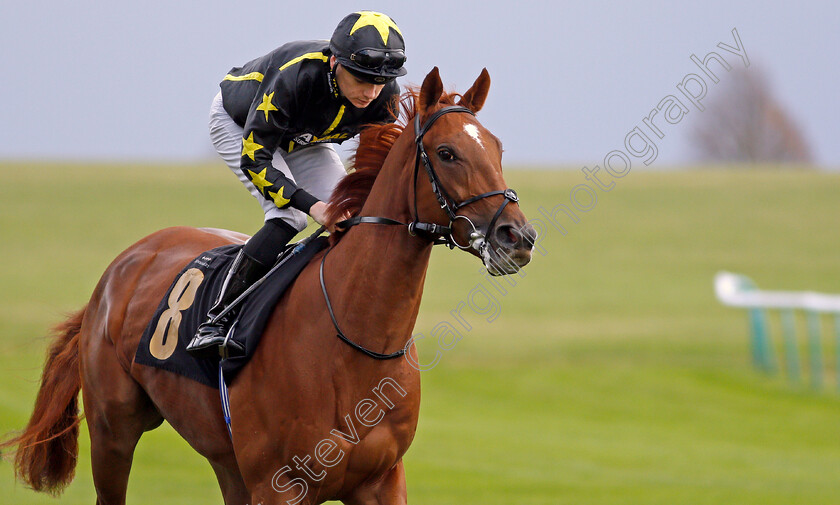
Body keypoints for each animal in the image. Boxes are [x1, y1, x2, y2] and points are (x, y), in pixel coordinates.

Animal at [0, 68, 536, 504]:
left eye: (497, 148)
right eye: (447, 153)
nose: (518, 236)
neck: (353, 342)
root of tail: (121, 266)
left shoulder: (381, 480)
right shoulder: (279, 485)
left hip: (226, 462)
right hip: (114, 430)